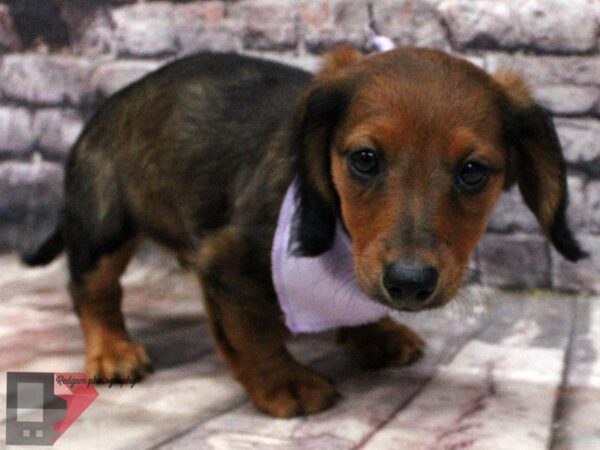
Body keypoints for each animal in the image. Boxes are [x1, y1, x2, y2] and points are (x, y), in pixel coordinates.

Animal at [22, 45, 584, 418]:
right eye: (364, 159)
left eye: (473, 171)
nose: (408, 284)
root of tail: (104, 108)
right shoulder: (228, 263)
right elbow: (254, 333)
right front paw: (286, 383)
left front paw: (374, 333)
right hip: (103, 226)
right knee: (92, 290)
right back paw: (113, 350)